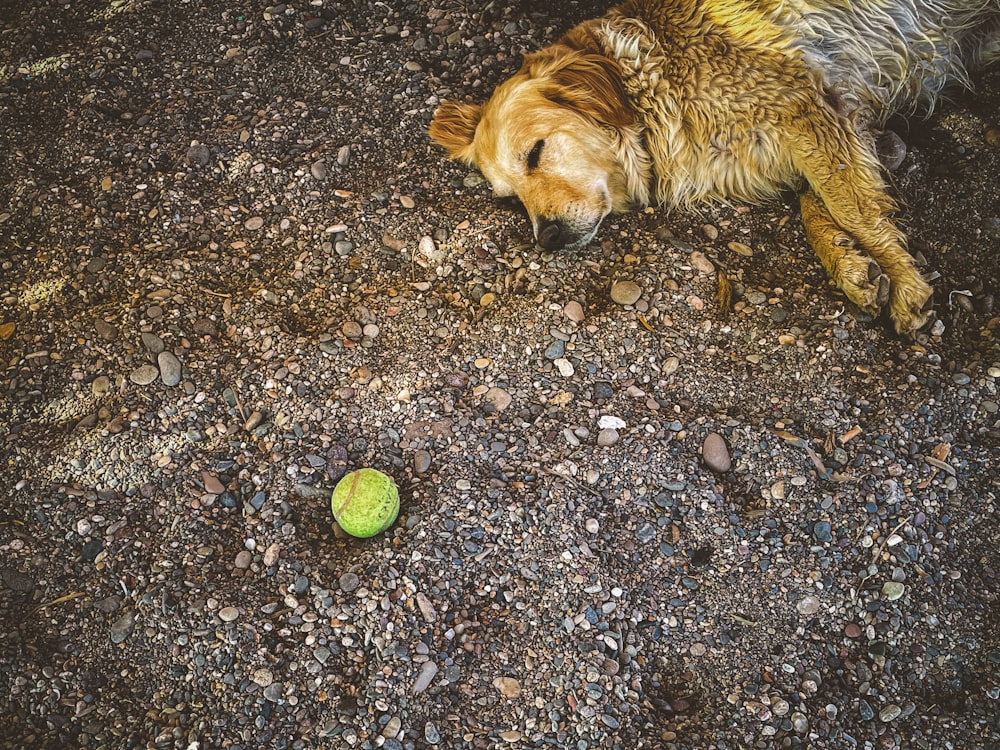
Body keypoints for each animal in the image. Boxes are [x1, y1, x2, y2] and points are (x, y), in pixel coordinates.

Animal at [430, 0, 1000, 334]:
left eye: (536, 152)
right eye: (512, 201)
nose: (545, 239)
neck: (649, 88)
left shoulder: (806, 105)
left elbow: (851, 204)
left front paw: (904, 280)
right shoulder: (823, 125)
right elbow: (821, 202)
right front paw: (850, 264)